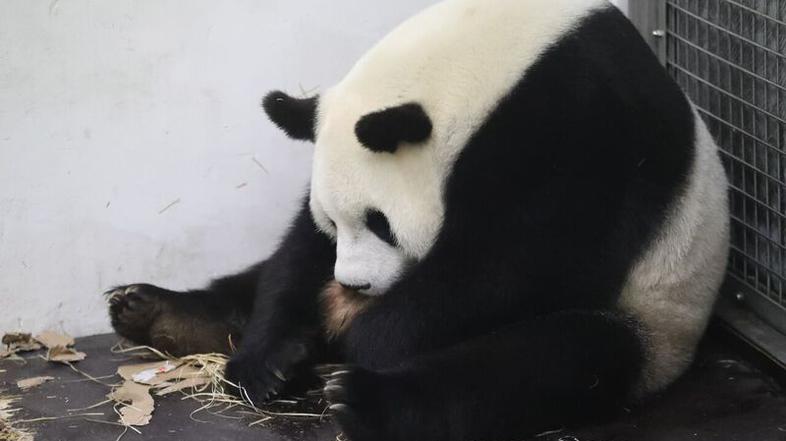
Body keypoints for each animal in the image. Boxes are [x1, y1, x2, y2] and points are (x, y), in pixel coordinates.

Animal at [107, 0, 730, 439]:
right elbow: (297, 254)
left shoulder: (586, 124)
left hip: (653, 319)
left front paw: (364, 339)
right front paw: (275, 356)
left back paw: (361, 399)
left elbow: (519, 261)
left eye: (380, 222)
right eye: (335, 223)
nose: (353, 285)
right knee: (251, 282)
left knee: (547, 363)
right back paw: (156, 312)